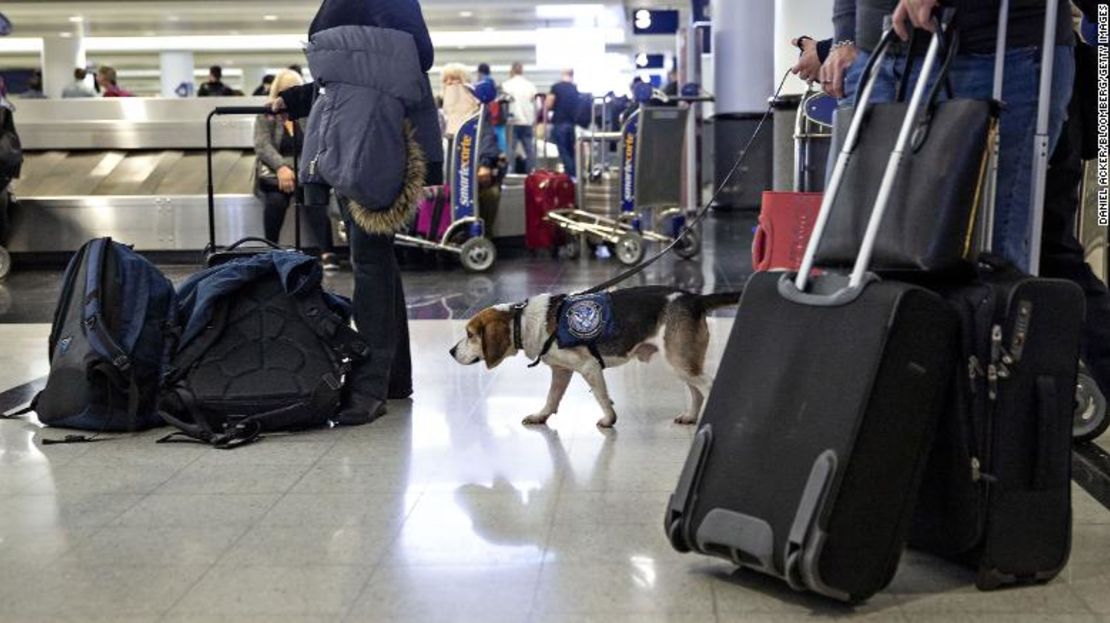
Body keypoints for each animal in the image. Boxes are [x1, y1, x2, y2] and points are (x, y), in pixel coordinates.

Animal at [446, 286, 741, 426]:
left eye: (470, 334)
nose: (450, 351)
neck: (523, 321)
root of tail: (694, 298)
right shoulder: (561, 371)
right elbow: (551, 398)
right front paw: (541, 416)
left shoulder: (589, 367)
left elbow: (601, 398)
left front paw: (609, 420)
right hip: (681, 363)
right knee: (696, 392)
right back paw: (691, 417)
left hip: (681, 362)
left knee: (708, 386)